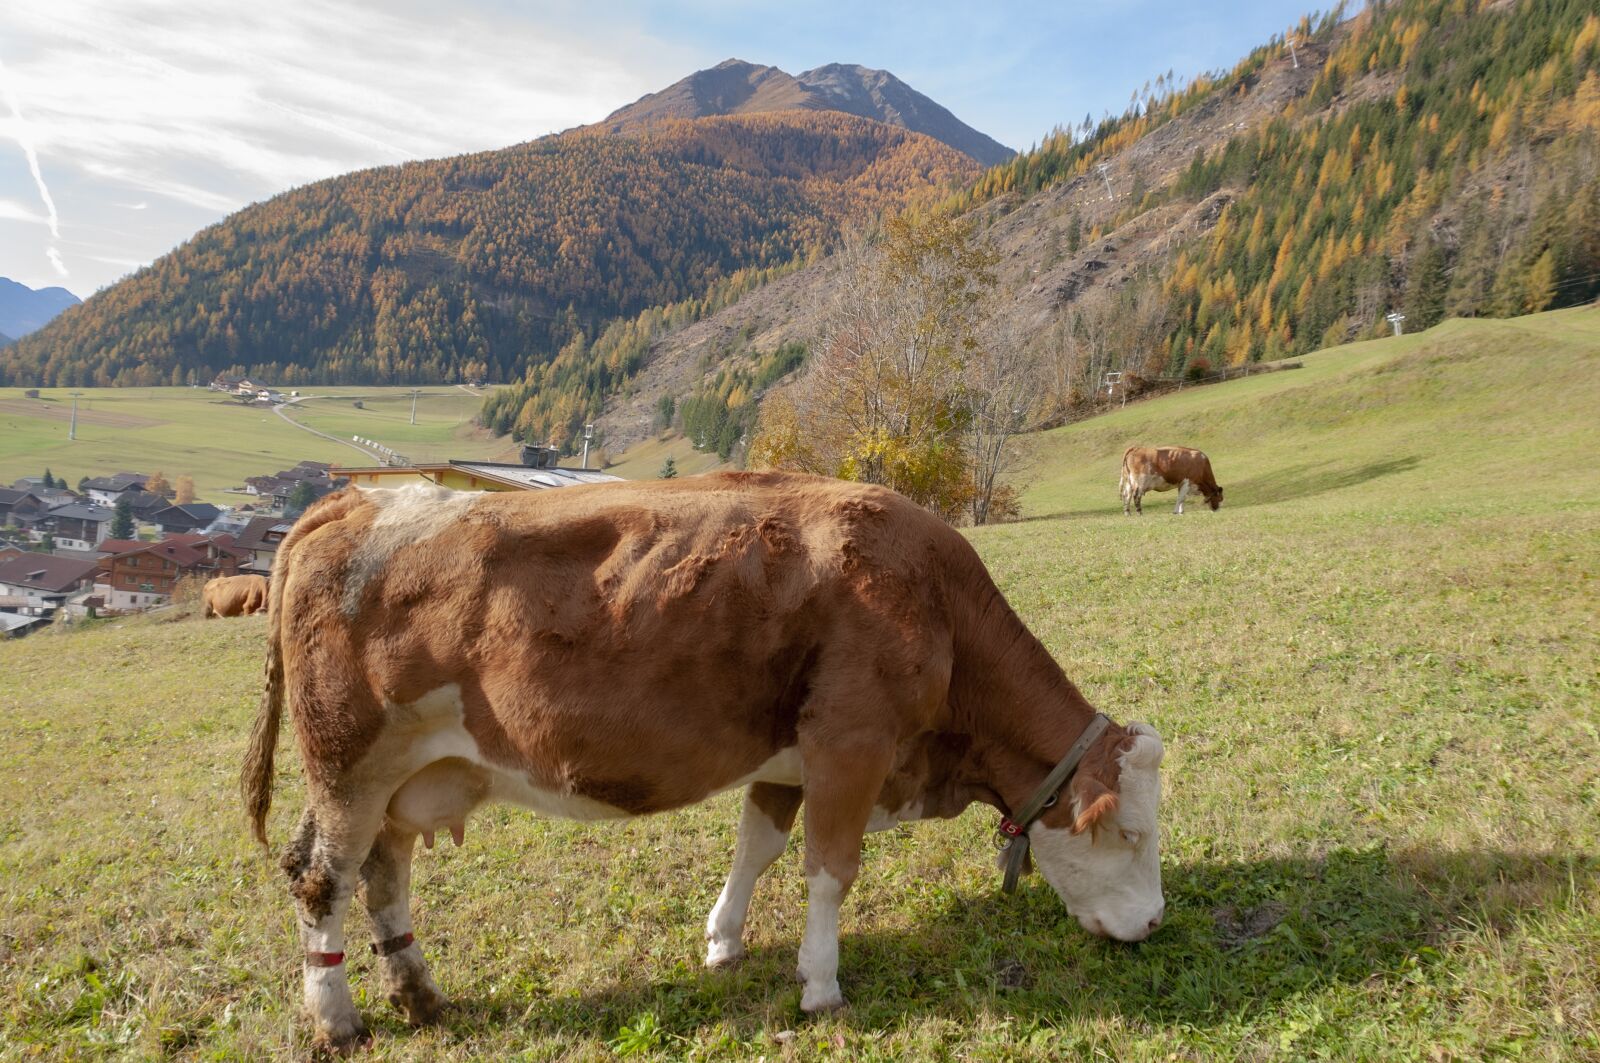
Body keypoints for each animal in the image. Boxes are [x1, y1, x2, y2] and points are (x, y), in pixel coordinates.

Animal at [243, 473, 1171, 1056]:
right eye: (1129, 832)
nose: (1157, 922)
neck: (938, 607)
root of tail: (356, 497)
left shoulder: (789, 754)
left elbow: (757, 846)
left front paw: (724, 941)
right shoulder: (852, 739)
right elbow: (830, 868)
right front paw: (820, 984)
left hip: (400, 778)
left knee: (380, 875)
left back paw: (419, 993)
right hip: (349, 763)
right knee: (321, 878)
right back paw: (338, 1019)